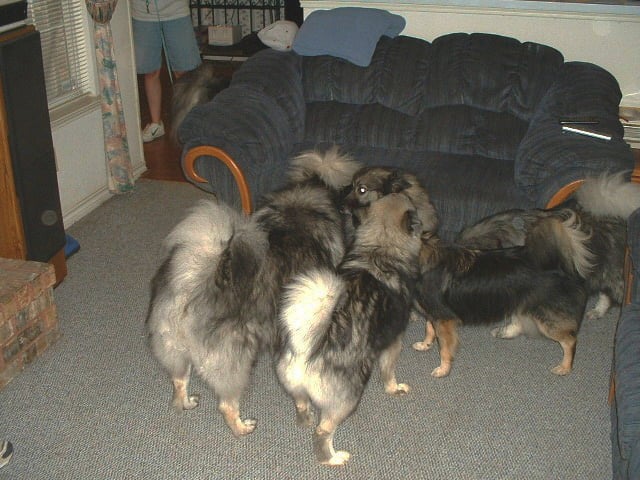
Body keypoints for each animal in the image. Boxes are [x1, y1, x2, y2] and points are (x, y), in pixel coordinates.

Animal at [146, 147, 361, 437]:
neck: (298, 211)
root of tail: (192, 282)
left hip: (175, 352)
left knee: (179, 382)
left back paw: (187, 401)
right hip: (235, 361)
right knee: (226, 404)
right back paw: (242, 427)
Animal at [276, 193, 424, 465]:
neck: (379, 249)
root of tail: (306, 350)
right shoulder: (393, 343)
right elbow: (389, 373)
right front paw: (394, 388)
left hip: (296, 387)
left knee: (302, 405)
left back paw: (305, 418)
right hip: (348, 400)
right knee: (323, 432)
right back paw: (333, 458)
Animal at [416, 212, 592, 377]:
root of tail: (559, 265)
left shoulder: (443, 318)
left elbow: (444, 347)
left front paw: (443, 369)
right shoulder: (434, 312)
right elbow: (429, 329)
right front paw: (425, 345)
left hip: (546, 318)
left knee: (570, 340)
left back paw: (565, 367)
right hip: (521, 302)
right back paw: (505, 332)